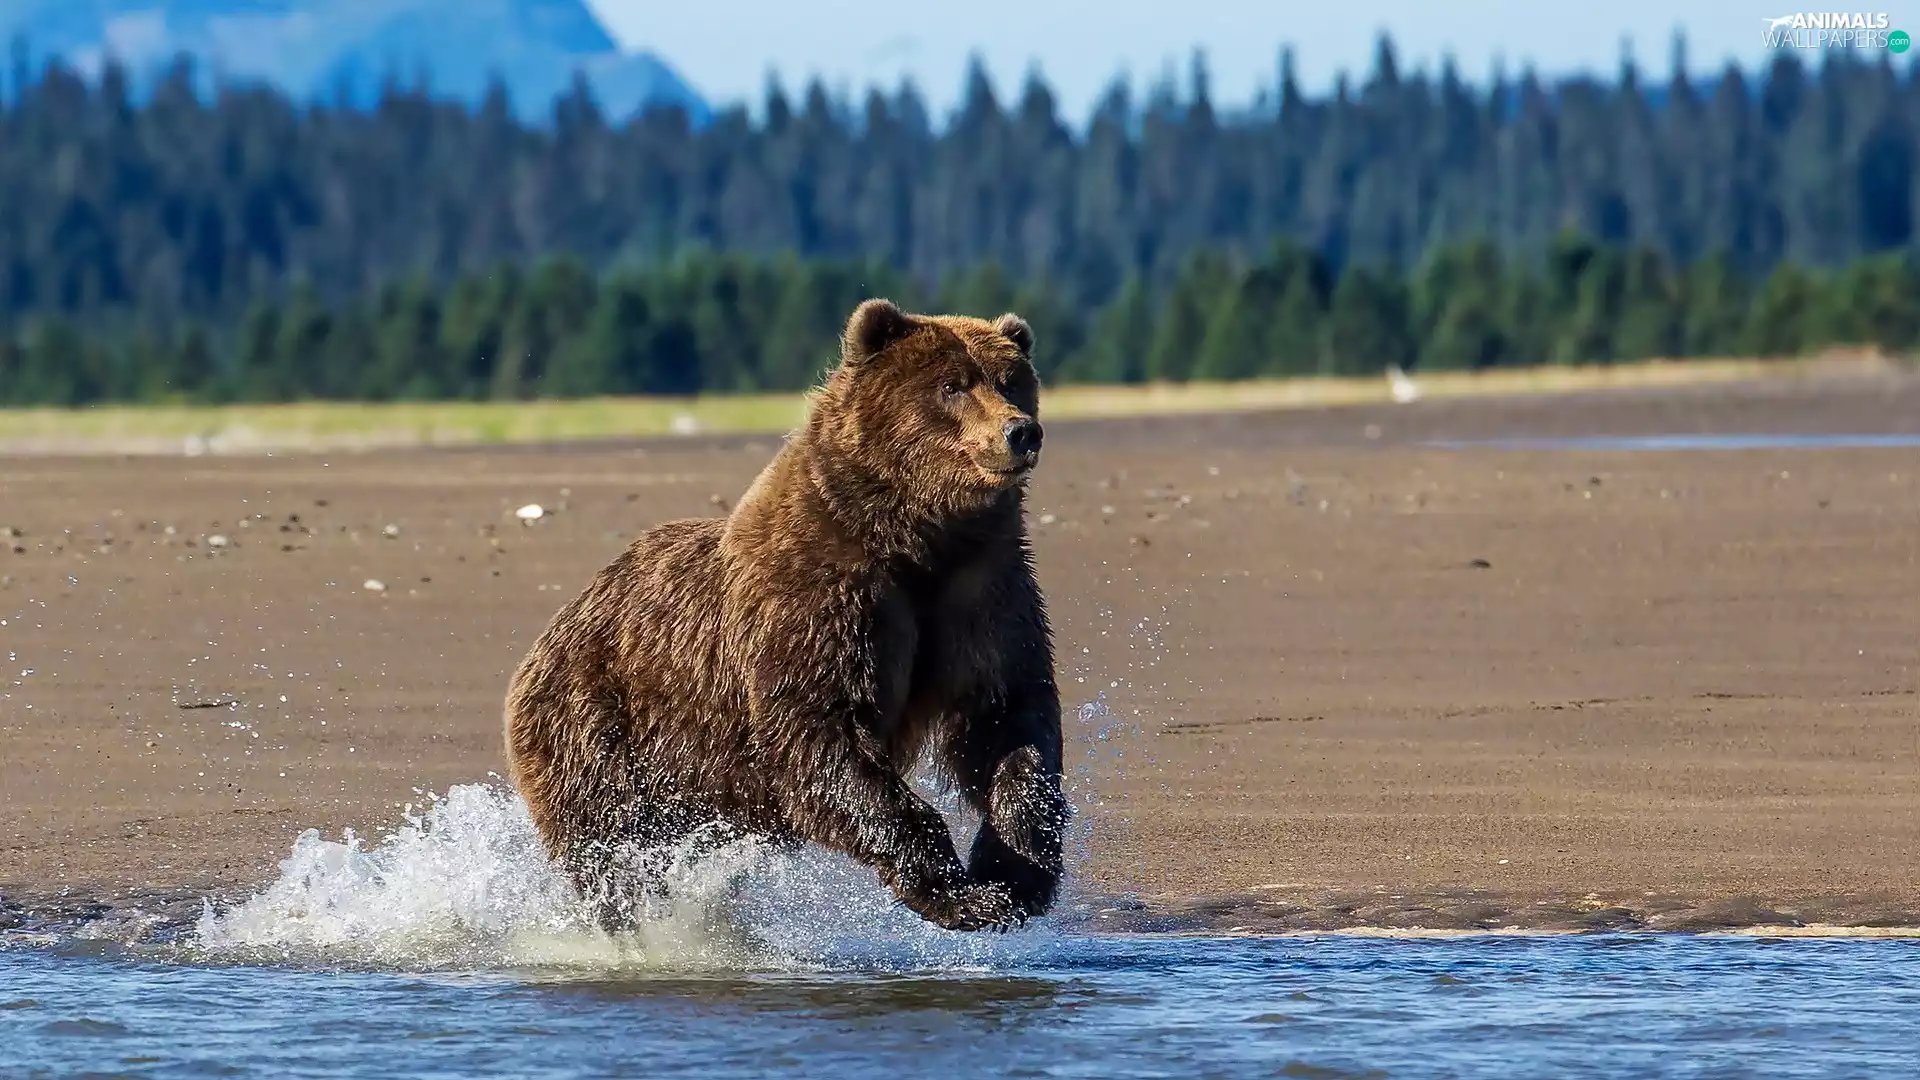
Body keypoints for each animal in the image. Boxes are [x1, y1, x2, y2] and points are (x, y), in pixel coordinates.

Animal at [502, 298, 1069, 933]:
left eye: (1012, 382)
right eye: (952, 385)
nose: (1020, 431)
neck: (915, 537)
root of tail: (550, 632)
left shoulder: (981, 592)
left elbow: (1006, 720)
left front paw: (1014, 877)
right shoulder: (819, 598)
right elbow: (819, 731)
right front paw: (959, 893)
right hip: (597, 730)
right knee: (610, 847)